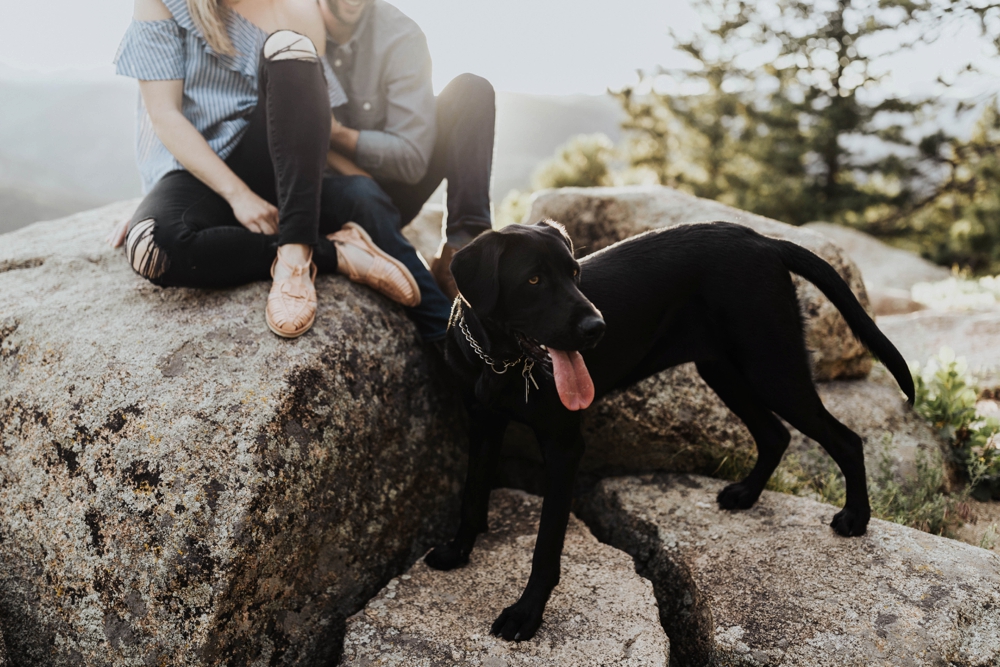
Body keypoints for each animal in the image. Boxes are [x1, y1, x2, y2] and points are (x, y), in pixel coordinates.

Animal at [426, 219, 916, 640]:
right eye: (532, 281)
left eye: (575, 273)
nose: (598, 328)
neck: (500, 362)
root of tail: (766, 241)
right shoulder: (482, 424)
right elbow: (472, 496)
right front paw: (457, 552)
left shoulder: (564, 446)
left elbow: (546, 546)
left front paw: (526, 614)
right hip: (724, 370)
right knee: (775, 435)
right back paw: (746, 494)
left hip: (772, 369)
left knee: (846, 439)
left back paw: (855, 518)